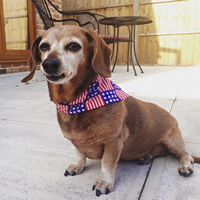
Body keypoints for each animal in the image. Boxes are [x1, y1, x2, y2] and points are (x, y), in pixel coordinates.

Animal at [21, 25, 199, 197]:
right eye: (44, 46)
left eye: (73, 46)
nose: (49, 64)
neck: (78, 102)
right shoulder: (77, 142)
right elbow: (80, 154)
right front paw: (78, 165)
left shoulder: (113, 143)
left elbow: (107, 164)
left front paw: (104, 182)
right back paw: (145, 157)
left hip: (173, 140)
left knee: (186, 155)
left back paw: (186, 166)